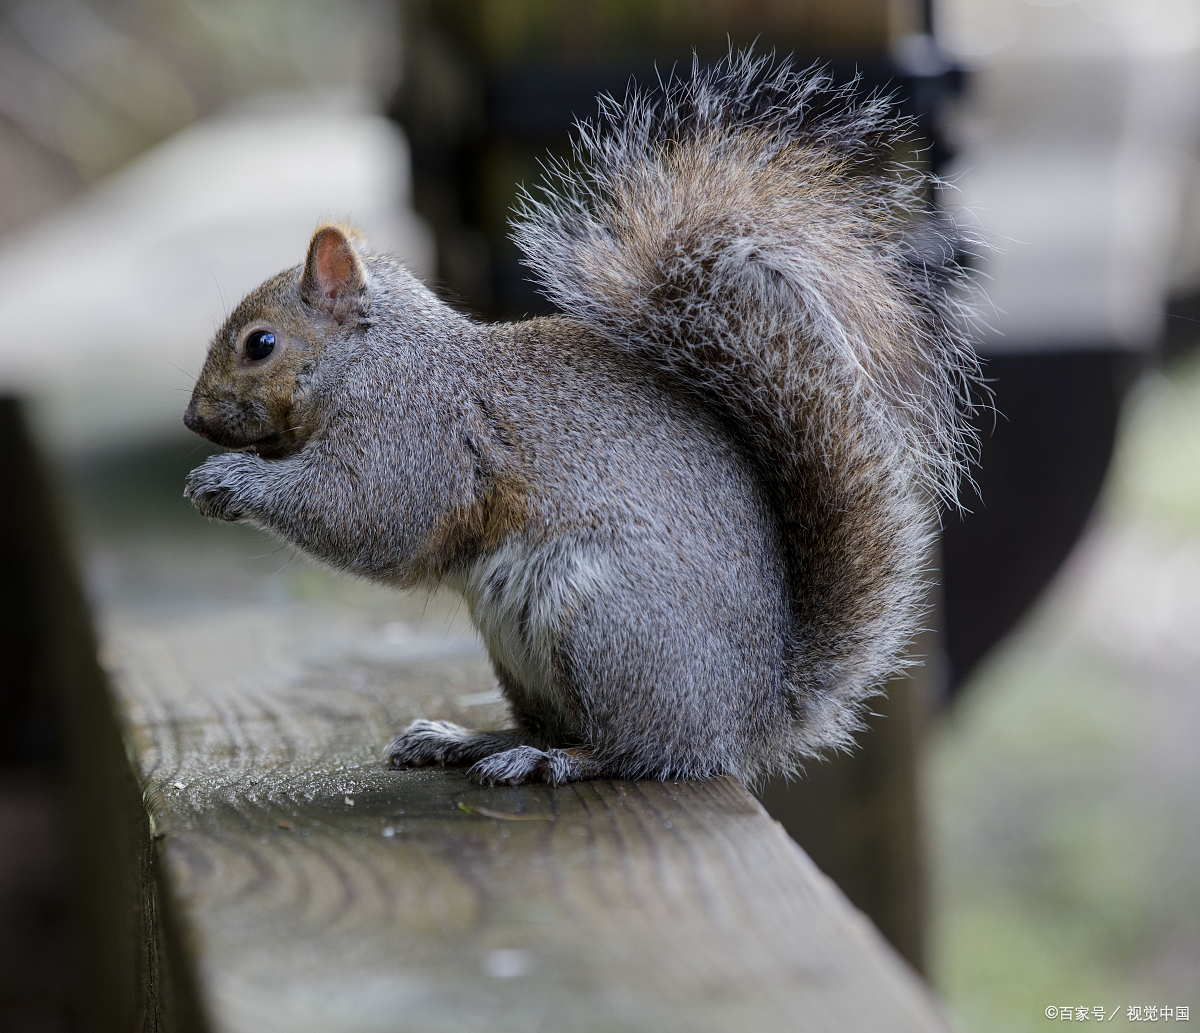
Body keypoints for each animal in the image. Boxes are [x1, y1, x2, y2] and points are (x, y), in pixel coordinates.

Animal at [182, 52, 979, 787]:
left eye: (260, 344)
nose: (193, 419)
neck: (377, 359)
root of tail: (748, 720)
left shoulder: (414, 432)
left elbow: (367, 514)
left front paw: (229, 480)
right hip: (519, 648)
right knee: (558, 722)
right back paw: (465, 740)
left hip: (603, 627)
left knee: (635, 751)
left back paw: (549, 760)